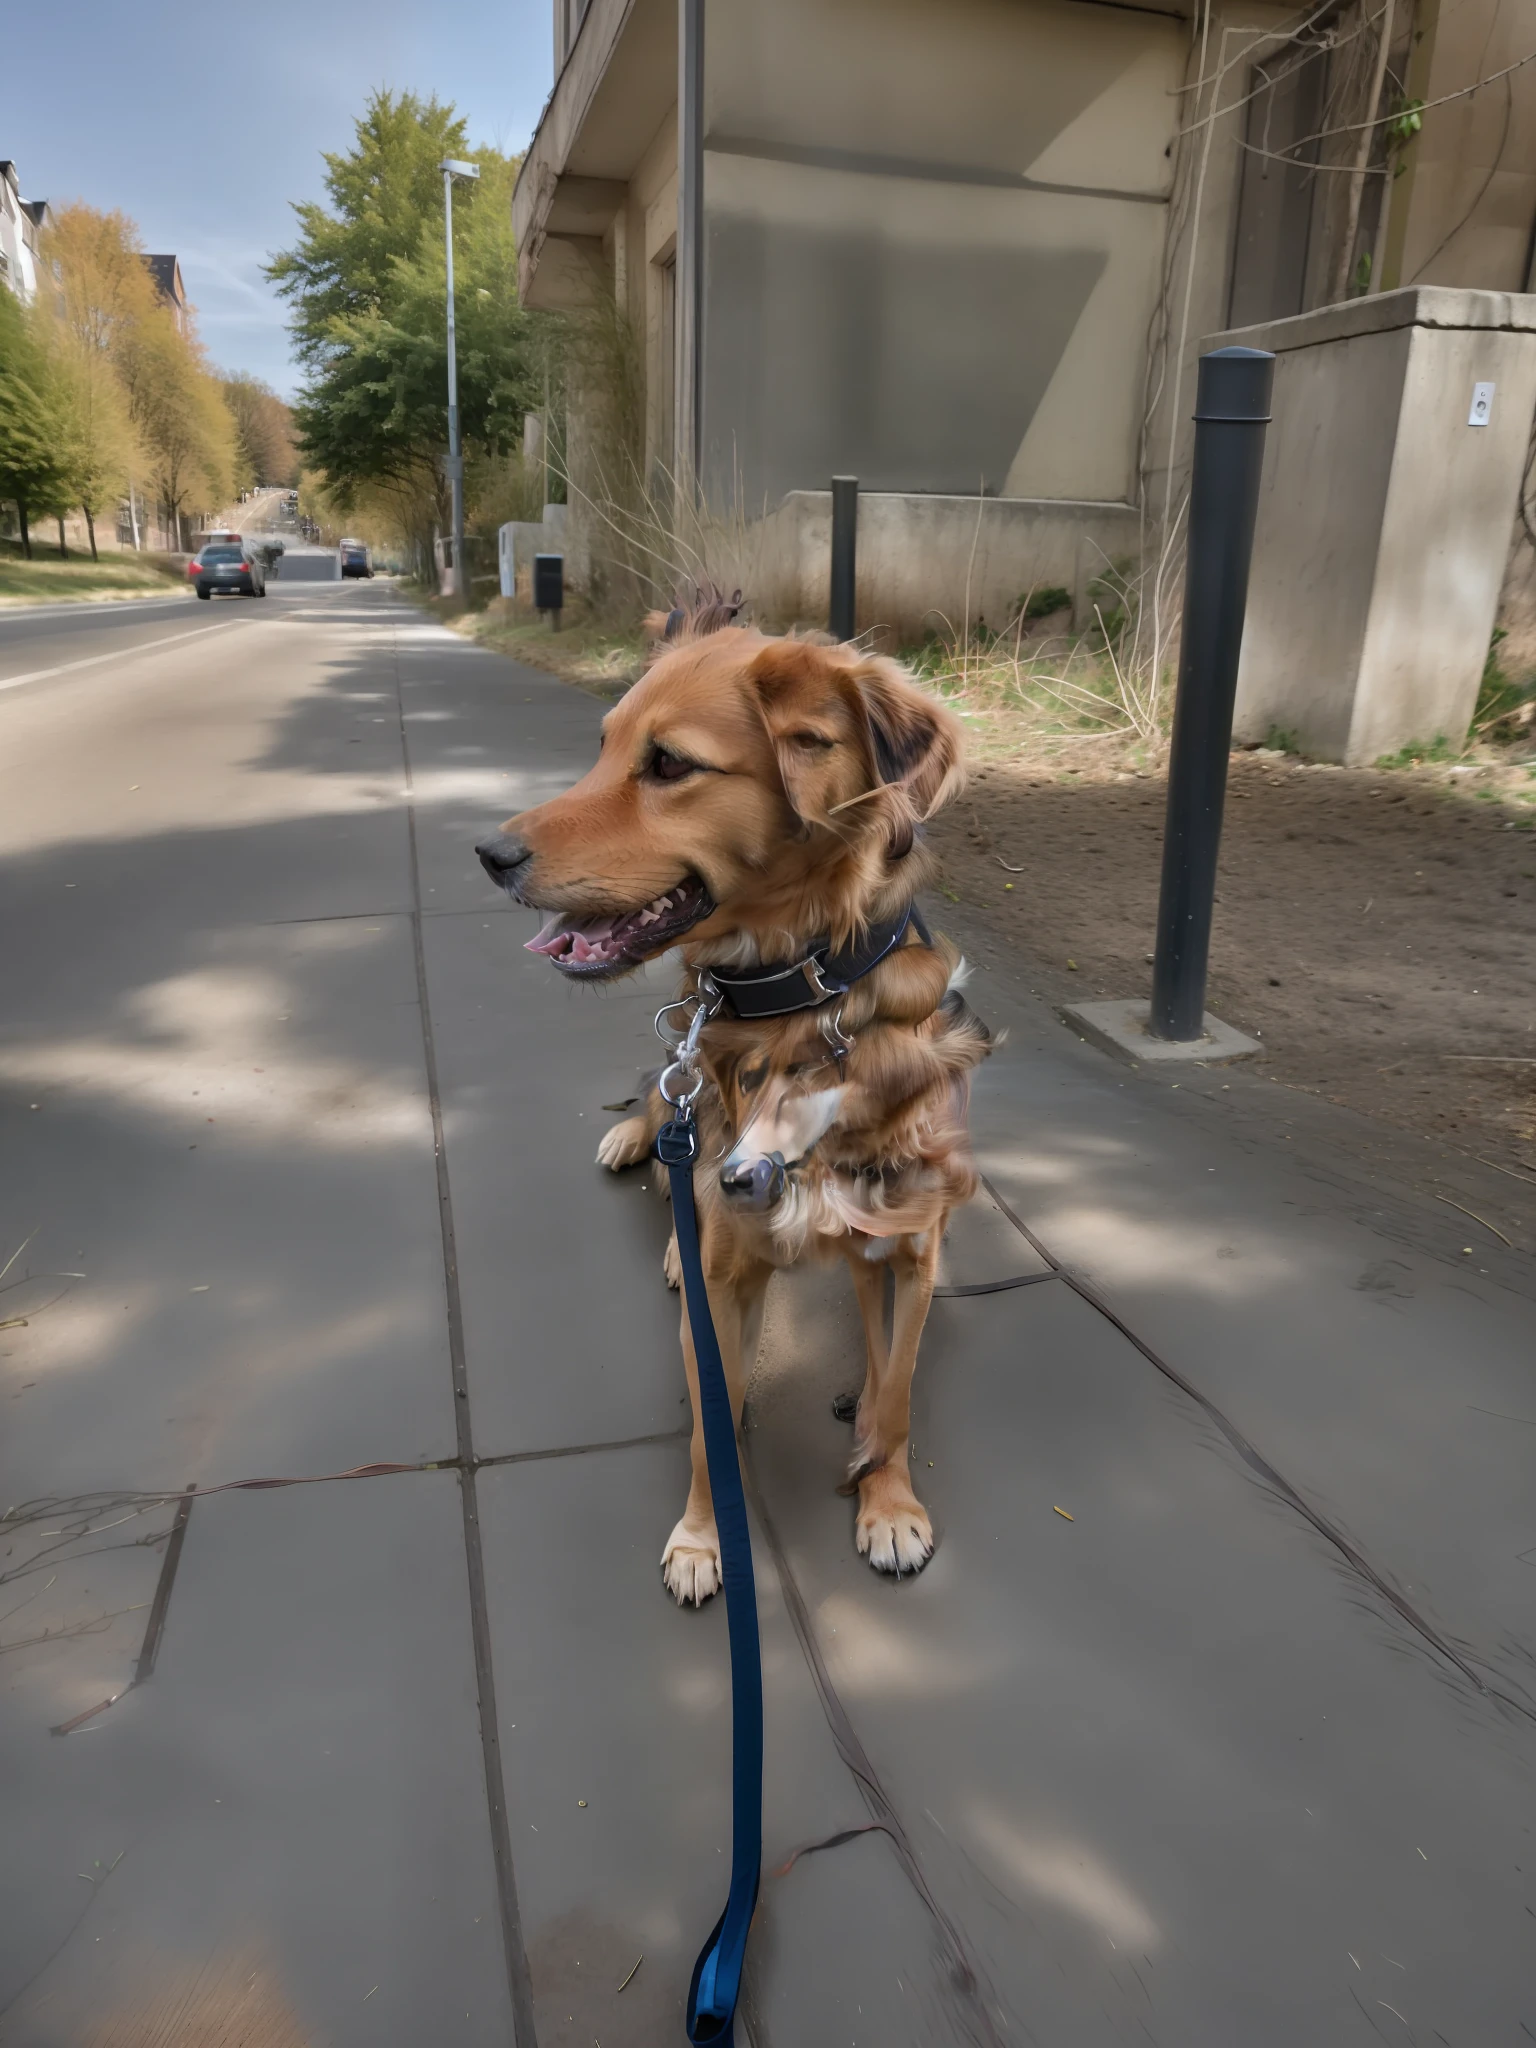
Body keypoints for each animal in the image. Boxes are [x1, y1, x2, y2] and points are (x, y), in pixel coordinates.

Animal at [475, 622, 991, 1597]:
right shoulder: (727, 1281)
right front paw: (701, 1538)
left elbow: (895, 1395)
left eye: (669, 763)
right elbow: (713, 1422)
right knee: (662, 1117)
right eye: (603, 747)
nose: (488, 855)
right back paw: (642, 1161)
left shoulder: (906, 1254)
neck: (800, 999)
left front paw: (889, 1504)